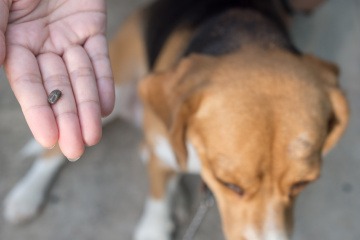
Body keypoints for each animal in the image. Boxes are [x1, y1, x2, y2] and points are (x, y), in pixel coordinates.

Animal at [2, 0, 348, 240]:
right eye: (229, 184)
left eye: (303, 183)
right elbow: (156, 196)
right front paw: (156, 224)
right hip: (113, 92)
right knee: (53, 153)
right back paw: (27, 195)